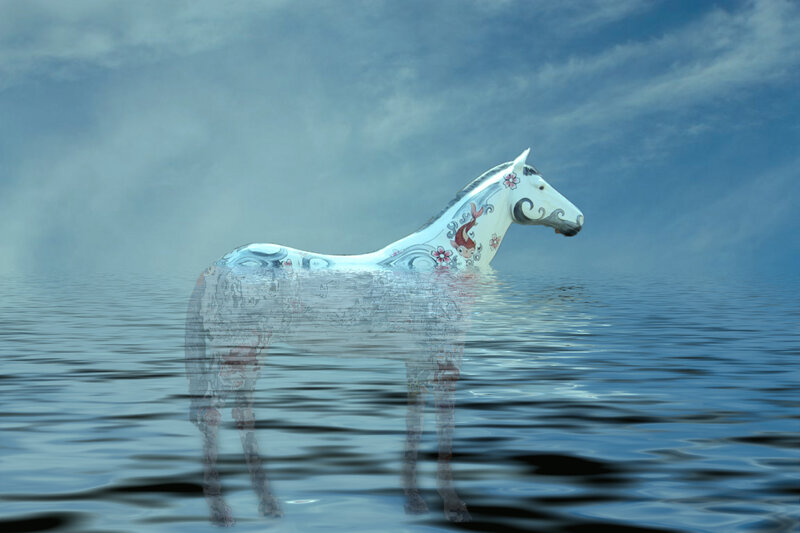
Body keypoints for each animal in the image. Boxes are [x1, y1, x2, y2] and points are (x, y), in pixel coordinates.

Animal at [184, 149, 583, 526]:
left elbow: (414, 420)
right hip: (234, 351)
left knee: (241, 411)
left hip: (250, 350)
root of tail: (216, 266)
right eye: (541, 187)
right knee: (211, 414)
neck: (443, 262)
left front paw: (414, 502)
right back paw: (221, 513)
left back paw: (269, 506)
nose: (578, 220)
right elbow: (446, 422)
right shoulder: (447, 355)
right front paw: (454, 508)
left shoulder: (417, 359)